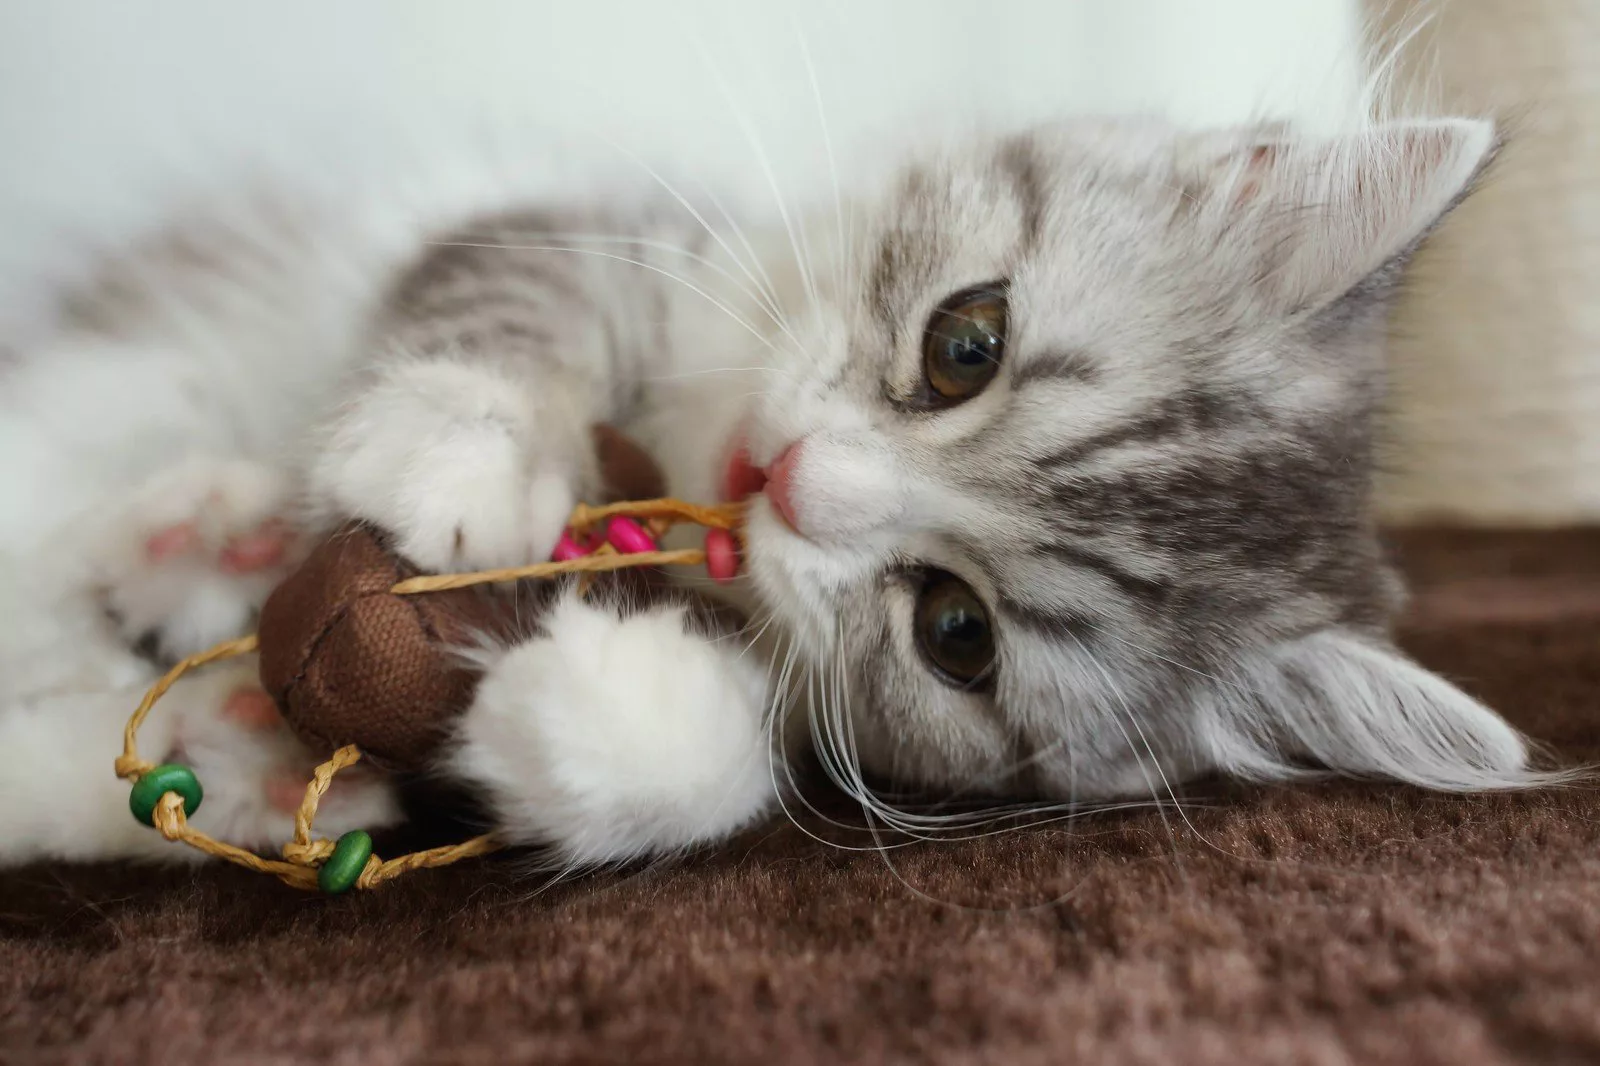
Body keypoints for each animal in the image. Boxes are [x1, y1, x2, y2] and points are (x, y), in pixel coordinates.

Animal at [0, 116, 1548, 870]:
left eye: (957, 633)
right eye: (965, 343)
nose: (787, 479)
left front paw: (591, 723)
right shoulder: (588, 230)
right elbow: (518, 301)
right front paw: (462, 445)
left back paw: (232, 731)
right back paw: (200, 548)